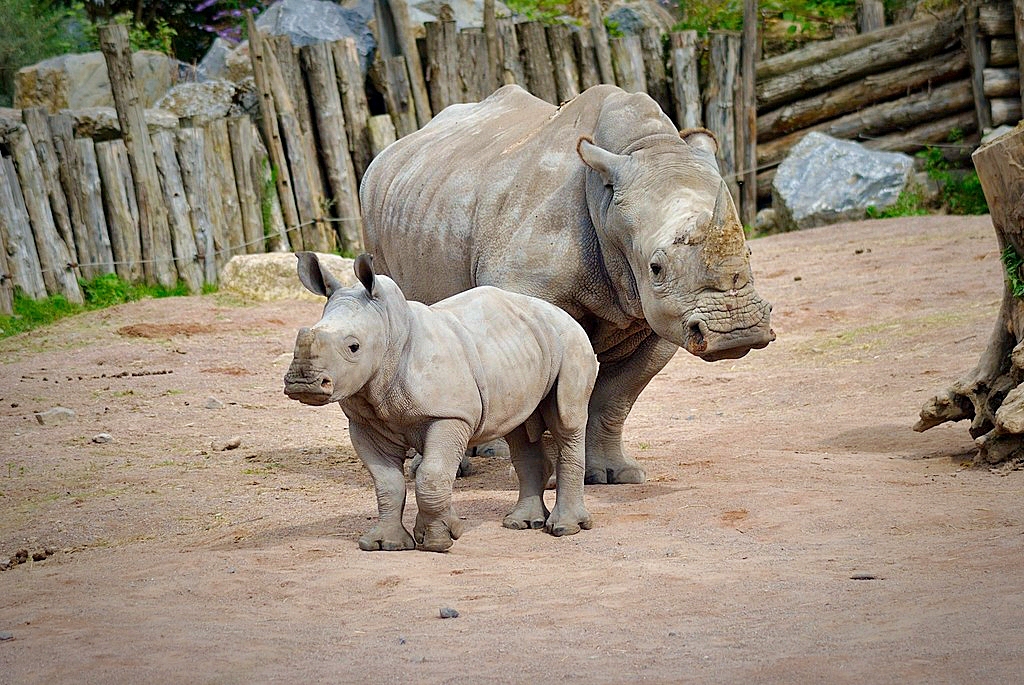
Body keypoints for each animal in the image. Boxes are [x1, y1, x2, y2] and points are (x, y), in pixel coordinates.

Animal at [283, 252, 596, 552]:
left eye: (353, 347)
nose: (302, 383)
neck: (390, 331)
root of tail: (561, 313)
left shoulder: (449, 415)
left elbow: (431, 477)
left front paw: (439, 540)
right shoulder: (365, 422)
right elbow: (388, 483)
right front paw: (386, 544)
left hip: (572, 341)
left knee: (566, 421)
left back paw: (564, 528)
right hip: (522, 350)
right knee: (518, 426)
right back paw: (521, 523)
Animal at [359, 84, 775, 485]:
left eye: (750, 253)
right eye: (655, 267)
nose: (737, 333)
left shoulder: (659, 320)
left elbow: (615, 399)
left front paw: (615, 476)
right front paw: (548, 480)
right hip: (378, 214)